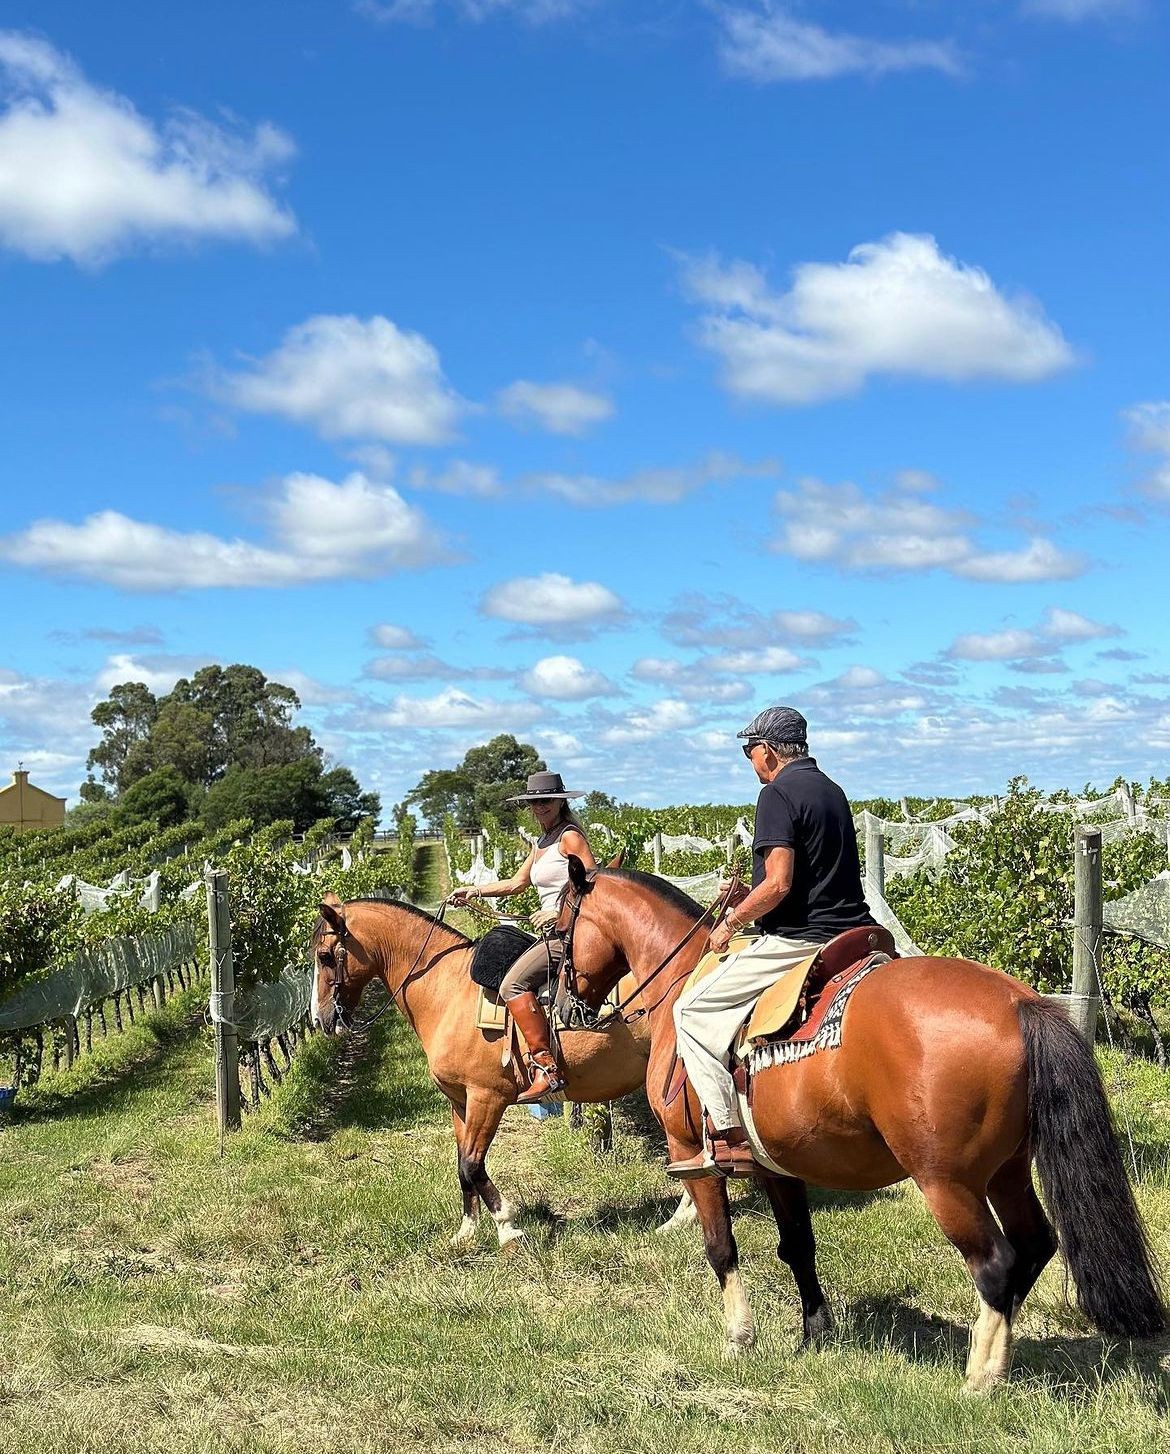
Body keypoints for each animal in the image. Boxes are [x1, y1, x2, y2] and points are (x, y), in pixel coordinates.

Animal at [305, 895, 697, 1250]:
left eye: (325, 956)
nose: (320, 1019)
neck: (447, 989)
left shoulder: (487, 1098)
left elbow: (472, 1164)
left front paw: (508, 1229)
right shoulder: (460, 1102)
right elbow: (462, 1167)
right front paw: (466, 1232)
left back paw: (682, 1217)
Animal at [552, 854, 1162, 1390]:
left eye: (557, 931)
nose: (562, 1009)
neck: (682, 980)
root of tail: (1019, 1004)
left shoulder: (691, 1155)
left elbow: (721, 1248)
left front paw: (738, 1338)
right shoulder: (777, 1166)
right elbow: (797, 1245)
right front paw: (815, 1332)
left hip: (948, 1183)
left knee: (996, 1263)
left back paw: (980, 1377)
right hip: (1006, 1171)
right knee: (1034, 1245)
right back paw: (999, 1358)